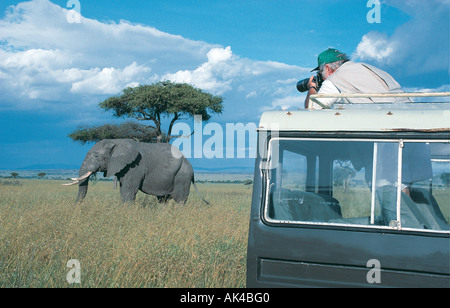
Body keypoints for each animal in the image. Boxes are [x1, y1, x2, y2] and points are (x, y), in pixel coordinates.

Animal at [63, 138, 209, 205]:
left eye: (96, 156)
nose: (75, 207)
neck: (116, 141)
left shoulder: (135, 166)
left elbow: (128, 191)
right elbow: (124, 190)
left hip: (182, 176)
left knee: (180, 200)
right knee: (162, 200)